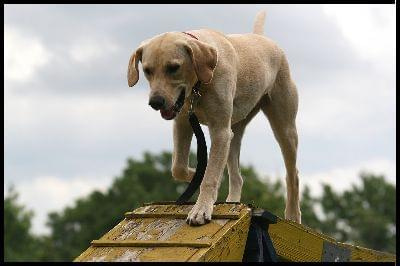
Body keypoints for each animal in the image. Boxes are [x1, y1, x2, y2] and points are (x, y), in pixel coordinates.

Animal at [128, 11, 300, 225]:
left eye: (174, 67)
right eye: (147, 70)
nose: (156, 102)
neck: (199, 84)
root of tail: (262, 38)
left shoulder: (219, 131)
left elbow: (210, 175)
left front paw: (201, 209)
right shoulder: (183, 123)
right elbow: (178, 167)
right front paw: (195, 175)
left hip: (284, 128)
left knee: (293, 176)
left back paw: (293, 215)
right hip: (234, 133)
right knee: (237, 176)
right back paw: (232, 201)